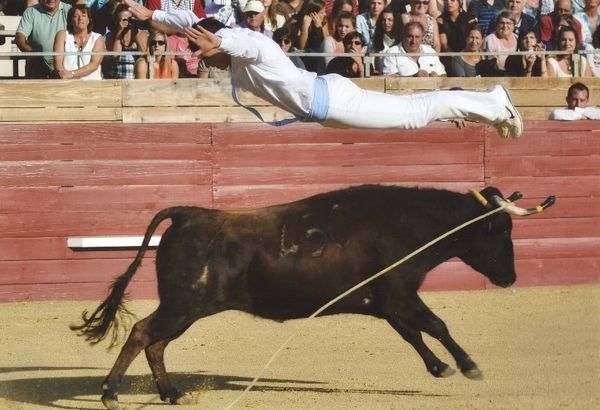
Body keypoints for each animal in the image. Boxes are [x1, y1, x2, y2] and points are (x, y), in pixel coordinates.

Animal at [70, 184, 552, 408]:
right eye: (501, 230)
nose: (510, 276)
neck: (408, 227)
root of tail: (190, 214)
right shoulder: (399, 295)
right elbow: (436, 325)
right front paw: (469, 366)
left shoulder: (386, 302)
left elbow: (413, 334)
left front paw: (441, 367)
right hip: (183, 304)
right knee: (141, 333)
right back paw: (111, 393)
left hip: (186, 309)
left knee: (155, 343)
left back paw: (172, 393)